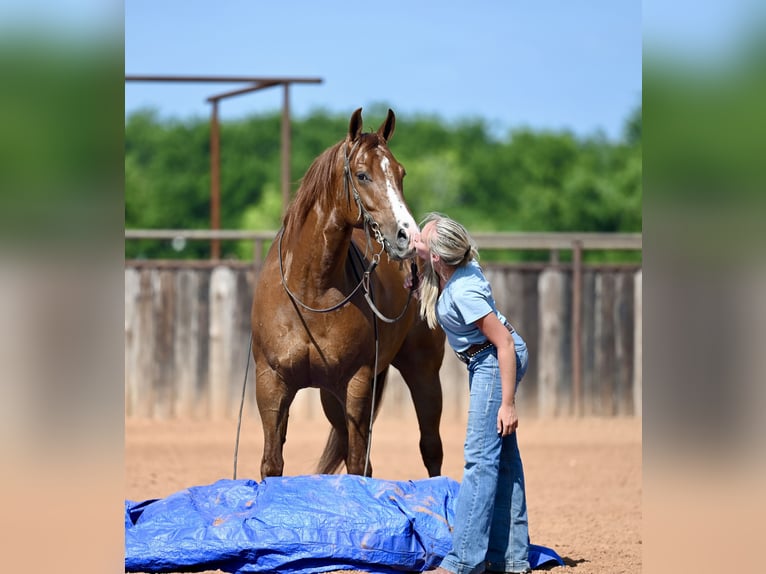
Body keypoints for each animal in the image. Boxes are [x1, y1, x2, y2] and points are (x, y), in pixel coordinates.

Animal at [251, 108, 445, 479]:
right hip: (331, 398)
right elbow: (272, 463)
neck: (311, 291)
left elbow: (356, 464)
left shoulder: (357, 383)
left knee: (430, 448)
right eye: (362, 175)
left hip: (423, 373)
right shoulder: (271, 383)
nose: (408, 236)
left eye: (401, 173)